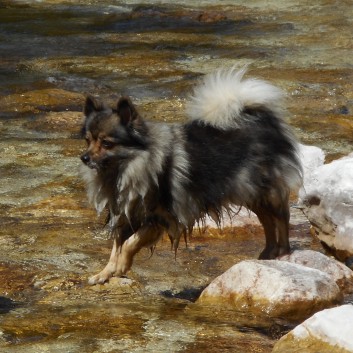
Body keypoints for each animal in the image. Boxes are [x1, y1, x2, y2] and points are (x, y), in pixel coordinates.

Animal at [80, 67, 302, 284]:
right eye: (88, 140)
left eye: (106, 143)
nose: (84, 157)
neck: (126, 168)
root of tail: (262, 121)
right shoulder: (126, 214)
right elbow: (116, 246)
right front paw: (105, 273)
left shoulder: (160, 218)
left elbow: (128, 244)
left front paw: (121, 267)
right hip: (249, 193)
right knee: (268, 222)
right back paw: (268, 253)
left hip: (263, 191)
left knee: (282, 217)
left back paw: (283, 251)